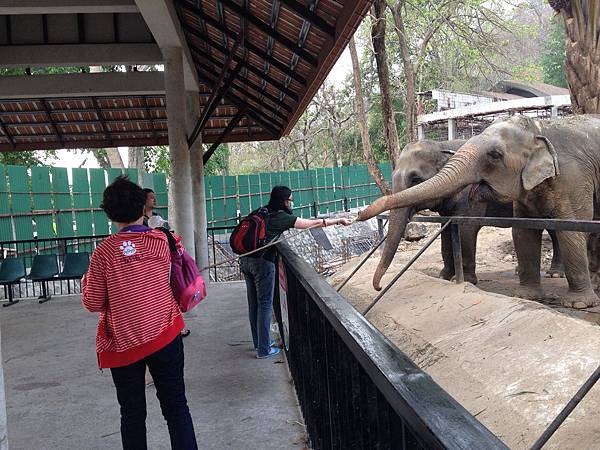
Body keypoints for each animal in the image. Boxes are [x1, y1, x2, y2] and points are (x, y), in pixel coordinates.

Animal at [372, 139, 564, 290]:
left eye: (415, 179)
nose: (379, 287)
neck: (442, 145)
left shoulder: (470, 194)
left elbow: (466, 228)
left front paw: (464, 280)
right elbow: (447, 231)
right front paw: (444, 276)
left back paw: (555, 274)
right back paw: (523, 271)